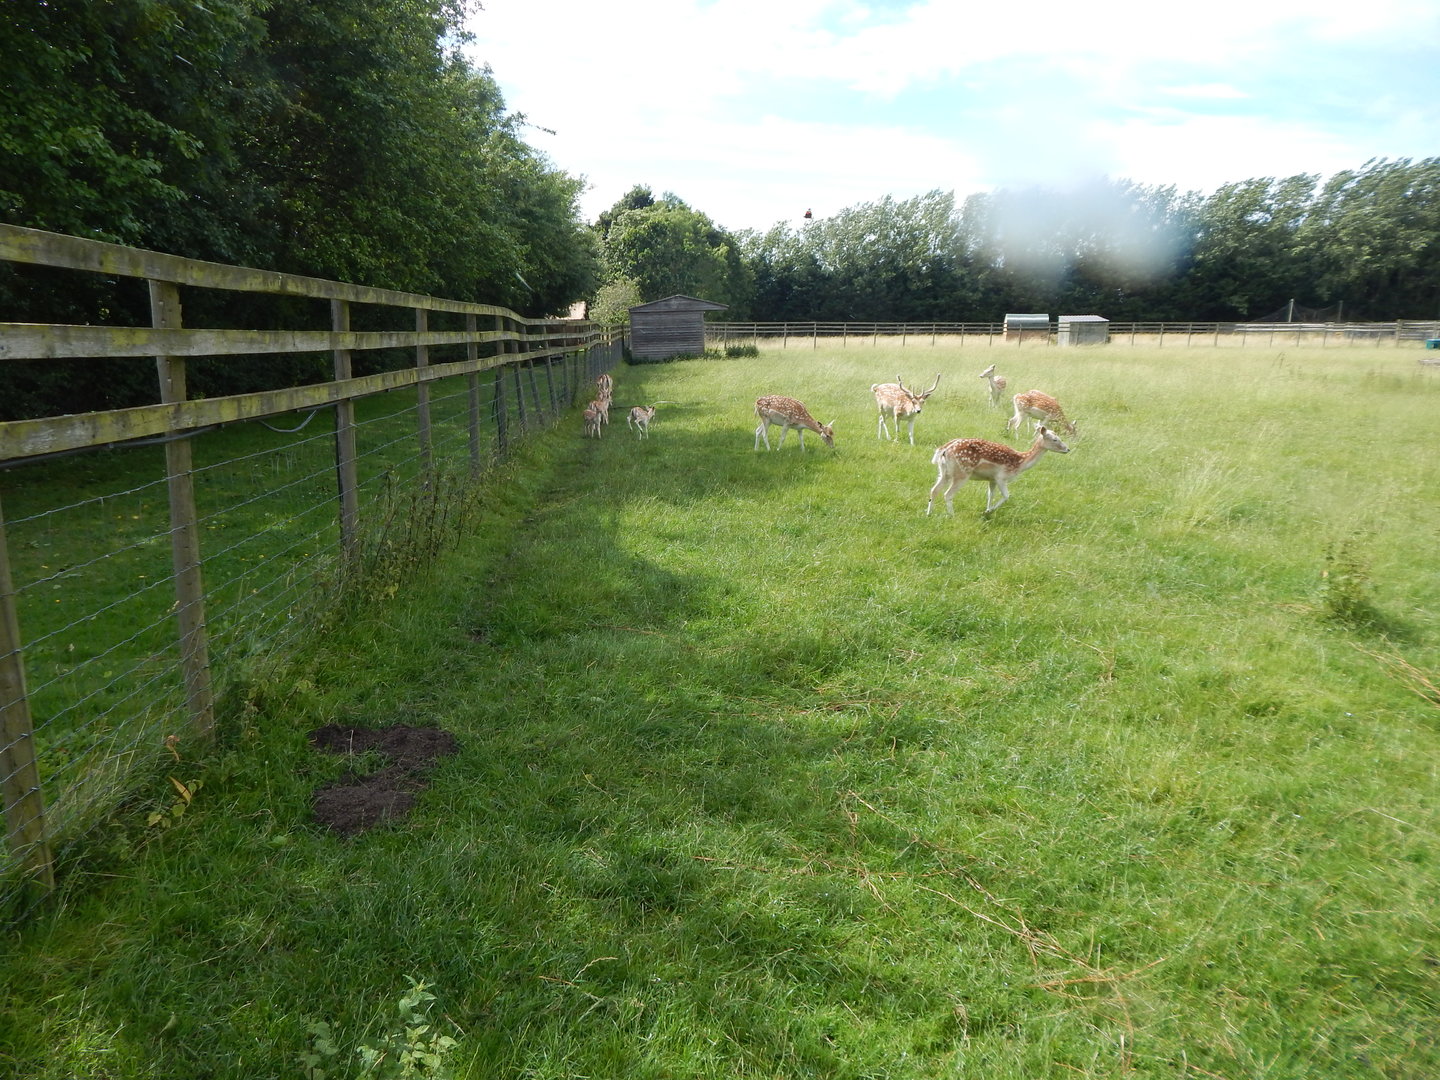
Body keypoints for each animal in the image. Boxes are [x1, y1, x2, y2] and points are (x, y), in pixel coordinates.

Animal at [927, 425, 1072, 516]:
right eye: (1055, 439)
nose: (1067, 449)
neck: (1021, 463)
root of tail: (944, 449)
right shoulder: (1001, 477)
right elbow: (1007, 496)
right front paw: (988, 512)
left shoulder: (992, 479)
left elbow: (990, 495)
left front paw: (987, 509)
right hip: (962, 473)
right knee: (948, 494)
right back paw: (952, 515)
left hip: (944, 472)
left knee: (934, 490)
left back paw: (929, 513)